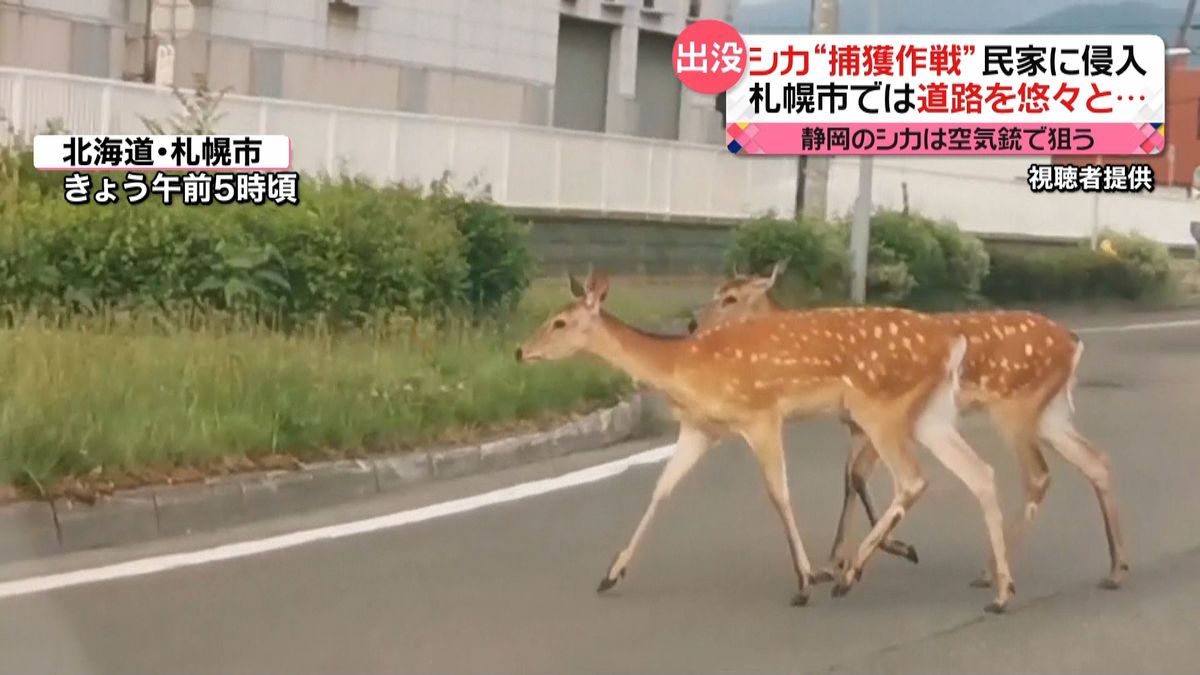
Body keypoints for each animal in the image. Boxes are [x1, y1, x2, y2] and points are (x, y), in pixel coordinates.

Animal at [511, 266, 1017, 610]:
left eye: (560, 322)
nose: (520, 351)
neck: (684, 367)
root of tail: (951, 341)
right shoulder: (701, 428)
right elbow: (662, 490)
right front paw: (611, 574)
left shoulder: (761, 415)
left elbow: (779, 493)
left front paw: (805, 579)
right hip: (925, 413)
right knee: (978, 472)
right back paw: (997, 587)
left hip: (879, 407)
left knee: (912, 479)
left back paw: (852, 574)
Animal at [691, 257, 1128, 588]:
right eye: (716, 290)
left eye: (730, 297)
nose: (693, 325)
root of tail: (1074, 341)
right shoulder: (855, 424)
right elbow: (850, 478)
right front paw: (839, 558)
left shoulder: (875, 418)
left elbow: (859, 477)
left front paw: (880, 552)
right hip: (1050, 412)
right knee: (1095, 460)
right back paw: (1115, 568)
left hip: (1015, 407)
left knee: (1039, 475)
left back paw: (993, 572)